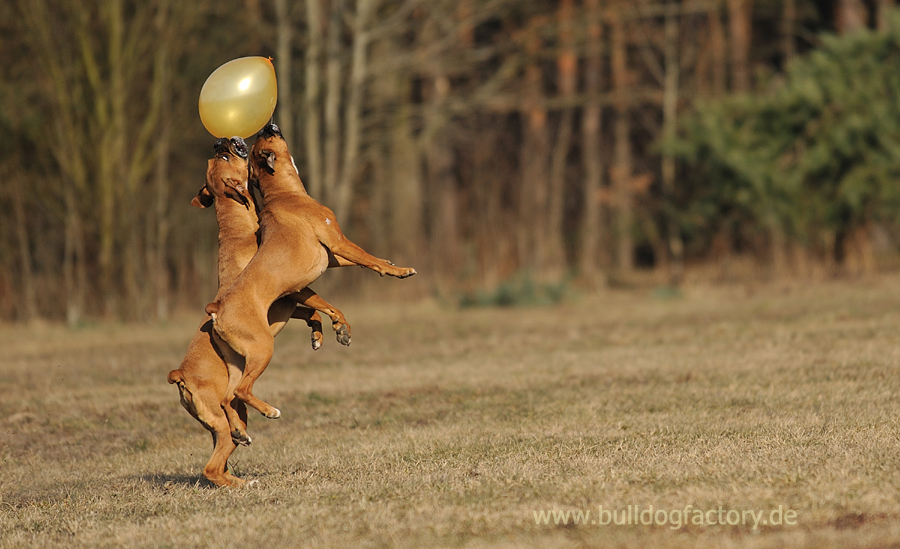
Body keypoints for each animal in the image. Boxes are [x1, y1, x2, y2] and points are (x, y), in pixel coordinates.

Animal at [167, 136, 354, 484]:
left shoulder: (288, 302)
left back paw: (242, 463)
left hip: (220, 423)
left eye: (217, 157)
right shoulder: (291, 293)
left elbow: (314, 312)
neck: (237, 228)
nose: (221, 141)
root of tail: (180, 374)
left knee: (219, 457)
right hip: (255, 361)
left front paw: (320, 334)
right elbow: (318, 305)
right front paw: (332, 328)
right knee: (215, 459)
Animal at [207, 122, 414, 438]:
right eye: (265, 138)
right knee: (242, 390)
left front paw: (339, 329)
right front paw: (399, 270)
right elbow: (369, 260)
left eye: (257, 144)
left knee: (227, 397)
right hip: (262, 348)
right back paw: (270, 411)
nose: (267, 125)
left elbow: (341, 288)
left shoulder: (327, 259)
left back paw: (240, 432)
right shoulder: (338, 242)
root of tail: (217, 309)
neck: (283, 193)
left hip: (237, 360)